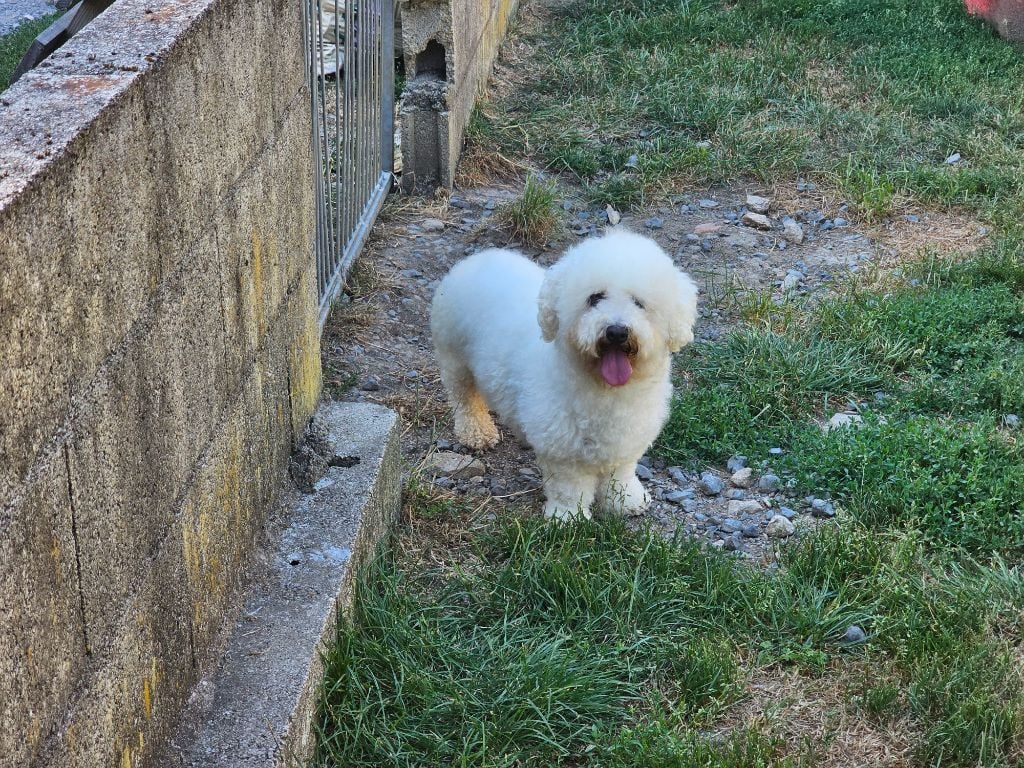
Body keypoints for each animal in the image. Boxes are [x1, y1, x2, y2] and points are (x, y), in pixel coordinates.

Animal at [428, 230, 700, 524]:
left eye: (639, 303)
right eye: (594, 298)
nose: (616, 331)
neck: (606, 389)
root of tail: (478, 258)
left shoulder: (628, 438)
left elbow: (621, 473)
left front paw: (626, 500)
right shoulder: (562, 447)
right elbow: (569, 487)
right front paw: (569, 518)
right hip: (454, 357)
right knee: (464, 398)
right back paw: (476, 431)